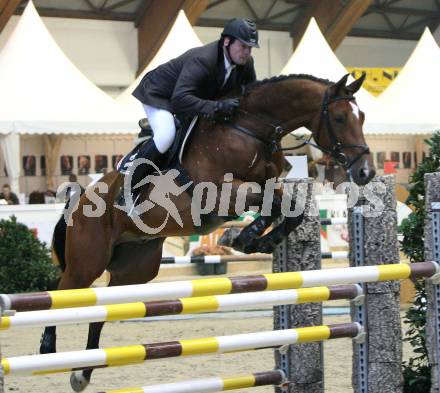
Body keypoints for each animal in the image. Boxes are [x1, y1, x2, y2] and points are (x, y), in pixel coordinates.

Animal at [42, 72, 374, 388]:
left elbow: (287, 207)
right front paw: (241, 238)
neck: (251, 128)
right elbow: (272, 203)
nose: (365, 172)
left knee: (102, 310)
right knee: (61, 291)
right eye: (340, 118)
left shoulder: (266, 184)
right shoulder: (220, 192)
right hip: (88, 263)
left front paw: (257, 242)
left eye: (362, 117)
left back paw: (83, 372)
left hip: (135, 270)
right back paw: (48, 349)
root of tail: (80, 198)